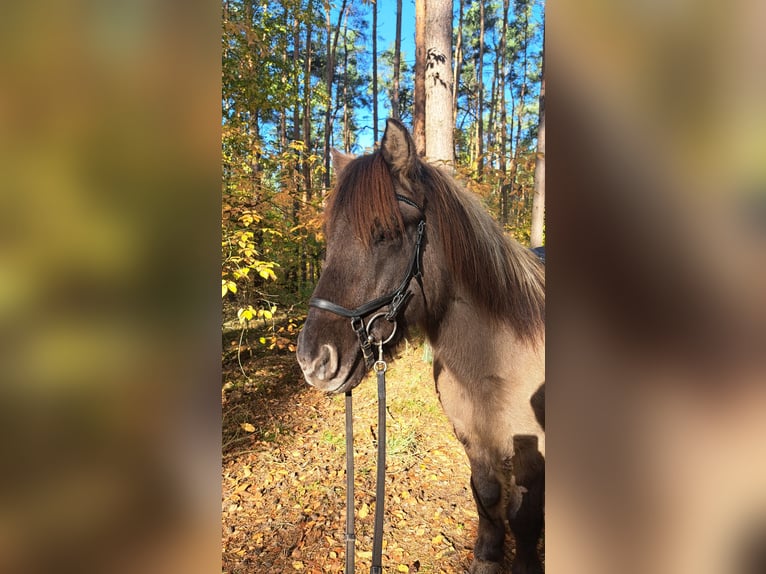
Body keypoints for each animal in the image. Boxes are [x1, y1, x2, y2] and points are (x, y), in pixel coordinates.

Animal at [296, 119, 544, 572]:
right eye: (329, 237)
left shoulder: (533, 459)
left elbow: (525, 519)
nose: (313, 360)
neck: (496, 361)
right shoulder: (472, 438)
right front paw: (487, 556)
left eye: (386, 233)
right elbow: (487, 496)